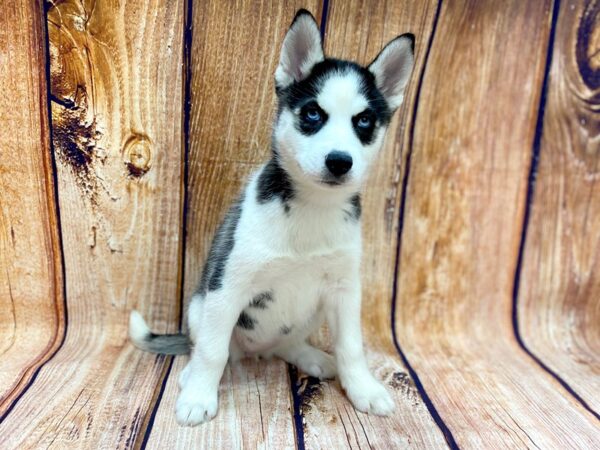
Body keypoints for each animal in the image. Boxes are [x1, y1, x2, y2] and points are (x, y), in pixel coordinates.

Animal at [129, 9, 414, 426]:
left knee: (288, 343)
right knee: (209, 347)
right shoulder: (227, 286)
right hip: (201, 306)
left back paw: (309, 356)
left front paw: (363, 389)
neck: (312, 208)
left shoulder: (344, 289)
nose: (339, 161)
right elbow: (212, 351)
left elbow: (352, 347)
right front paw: (198, 396)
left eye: (363, 121)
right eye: (312, 113)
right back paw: (190, 374)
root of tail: (256, 351)